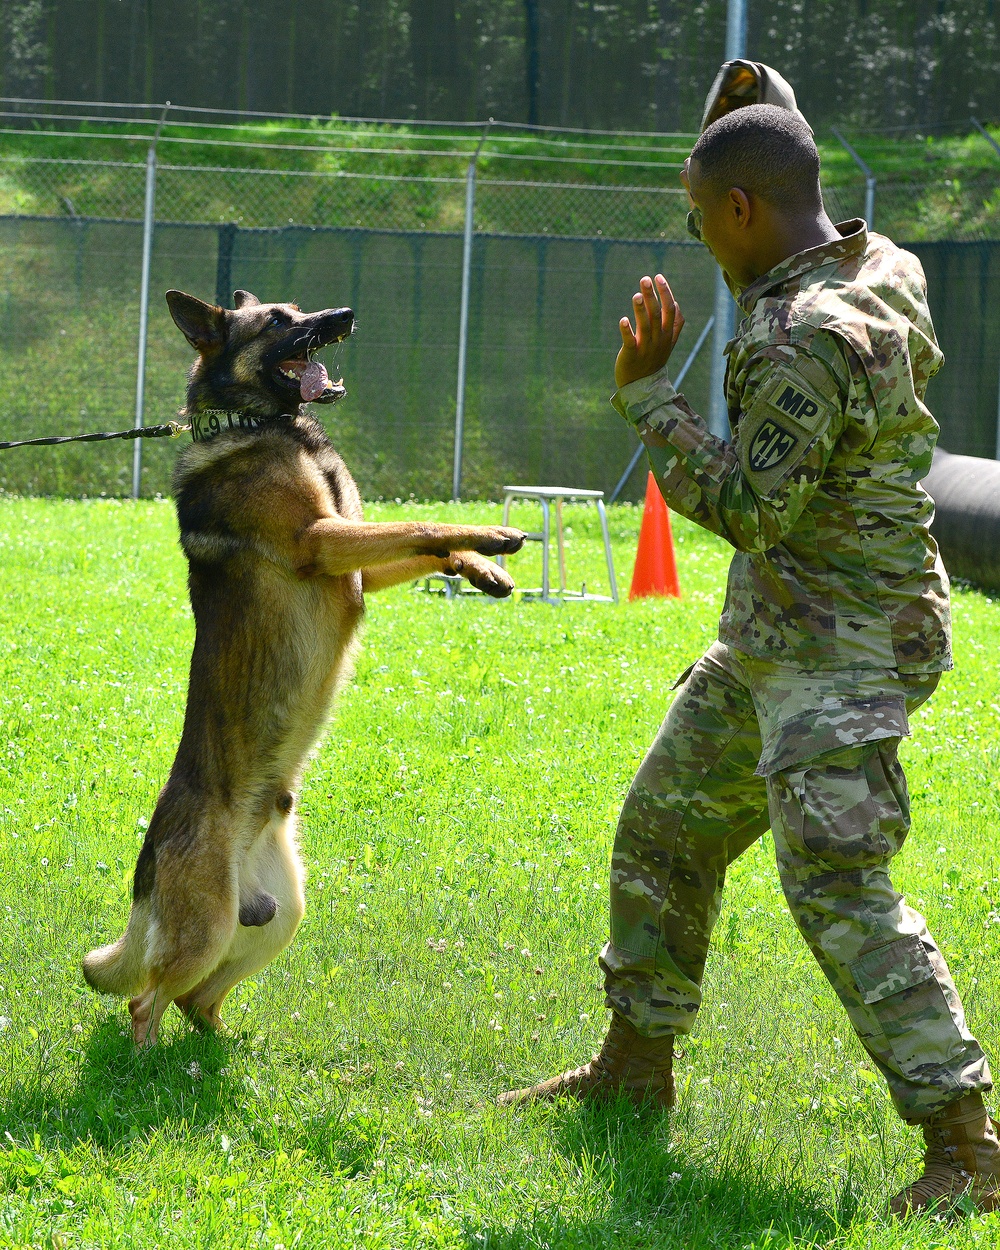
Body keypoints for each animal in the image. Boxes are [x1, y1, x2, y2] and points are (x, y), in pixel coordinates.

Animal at [81, 287, 527, 1040]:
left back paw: (225, 1047)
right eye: (278, 321)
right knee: (146, 1000)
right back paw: (151, 1058)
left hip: (283, 915)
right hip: (205, 926)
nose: (344, 315)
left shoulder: (353, 559)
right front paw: (492, 534)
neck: (259, 423)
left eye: (297, 307)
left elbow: (421, 546)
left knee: (196, 1001)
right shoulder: (322, 540)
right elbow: (424, 525)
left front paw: (480, 568)